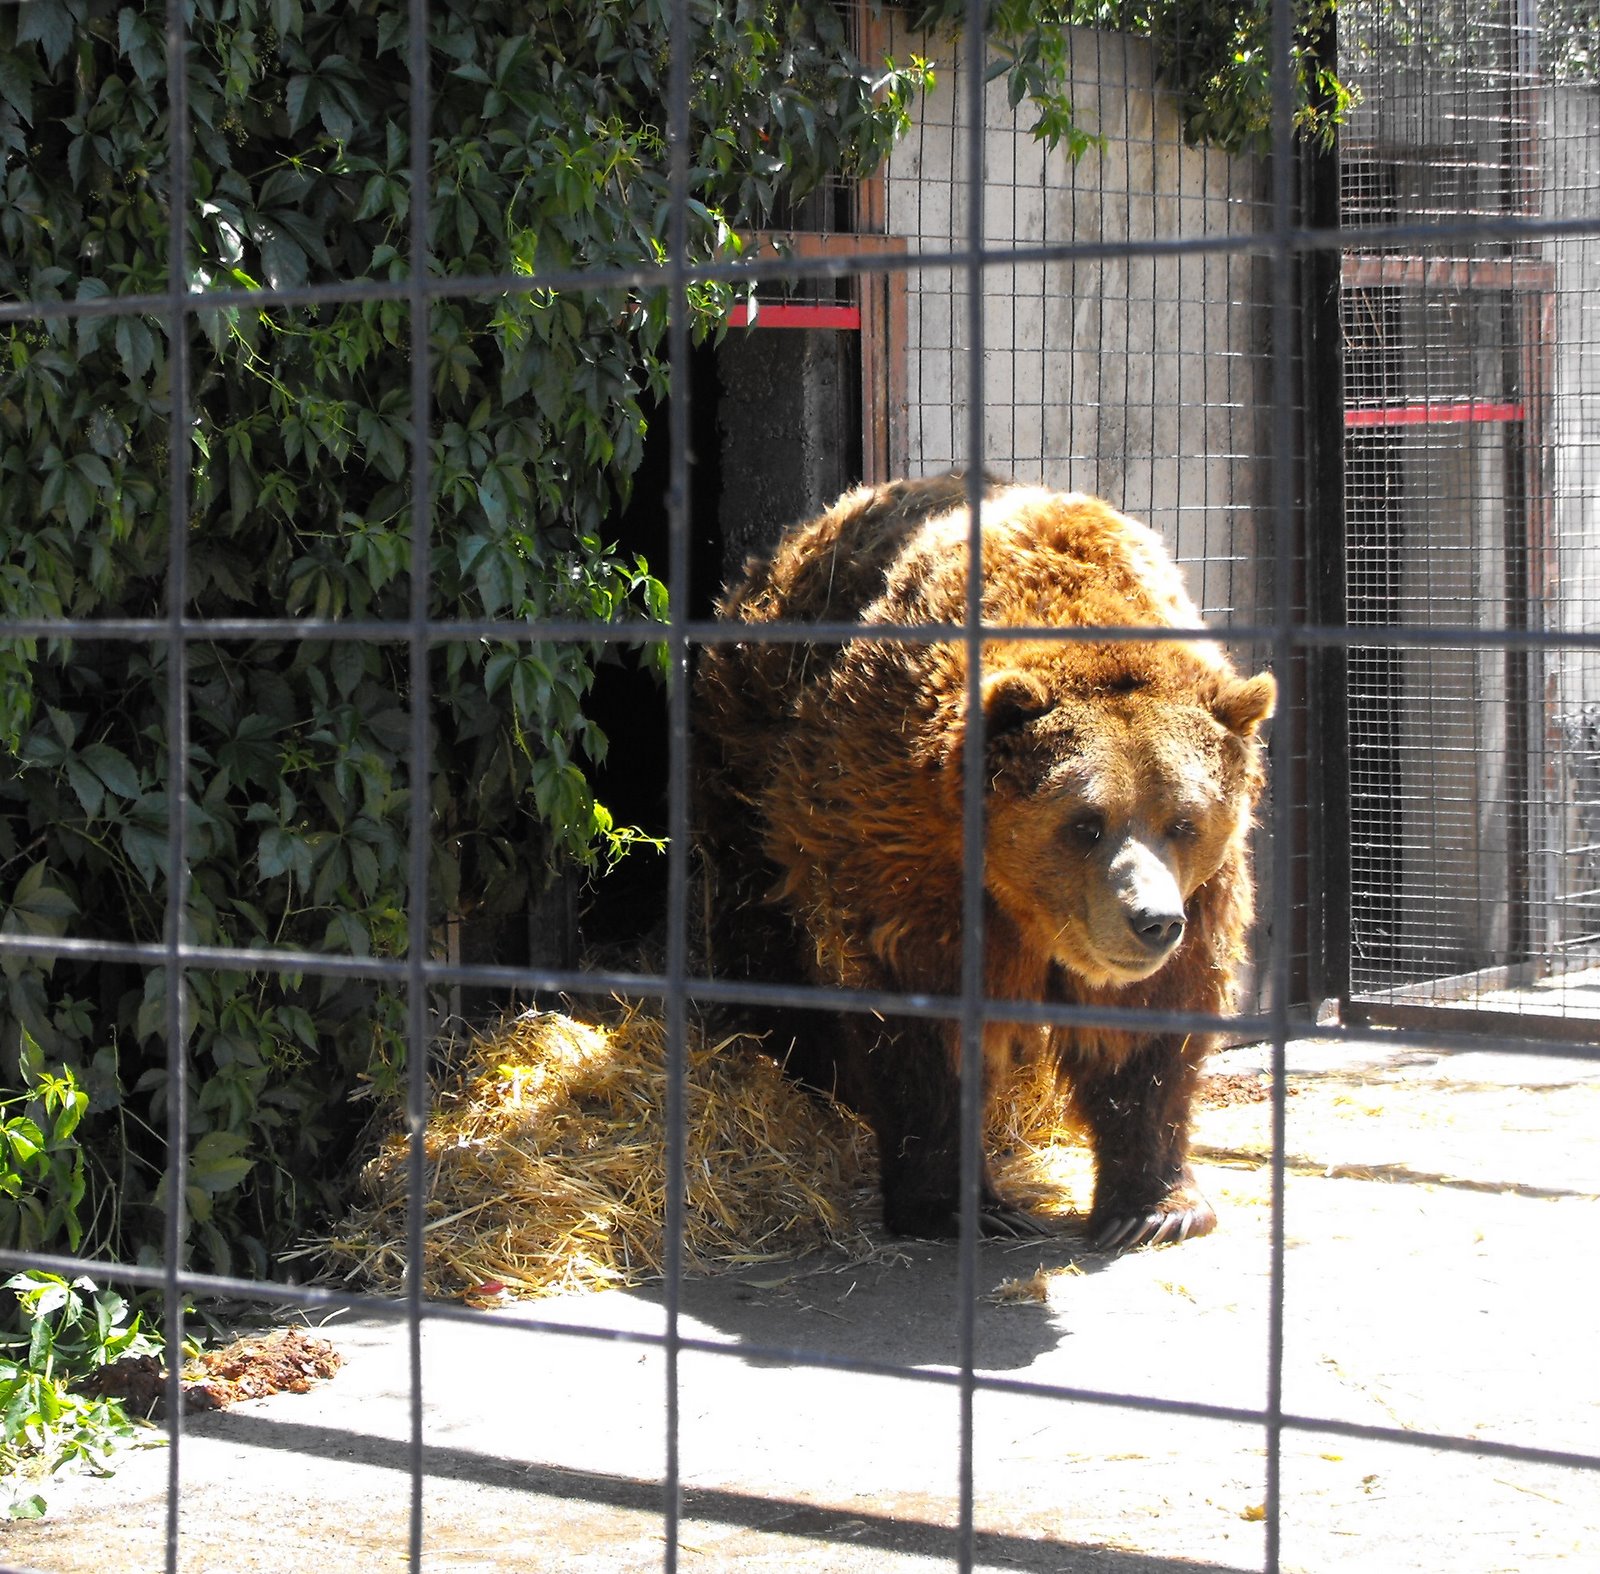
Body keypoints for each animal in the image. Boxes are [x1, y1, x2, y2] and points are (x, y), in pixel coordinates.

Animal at [693, 472, 1275, 1248]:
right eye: (1085, 824)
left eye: (1183, 821)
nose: (1151, 919)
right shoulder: (910, 843)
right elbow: (928, 1014)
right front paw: (961, 1203)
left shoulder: (1202, 892)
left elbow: (1151, 1020)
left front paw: (1155, 1209)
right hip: (749, 762)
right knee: (763, 917)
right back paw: (804, 1062)